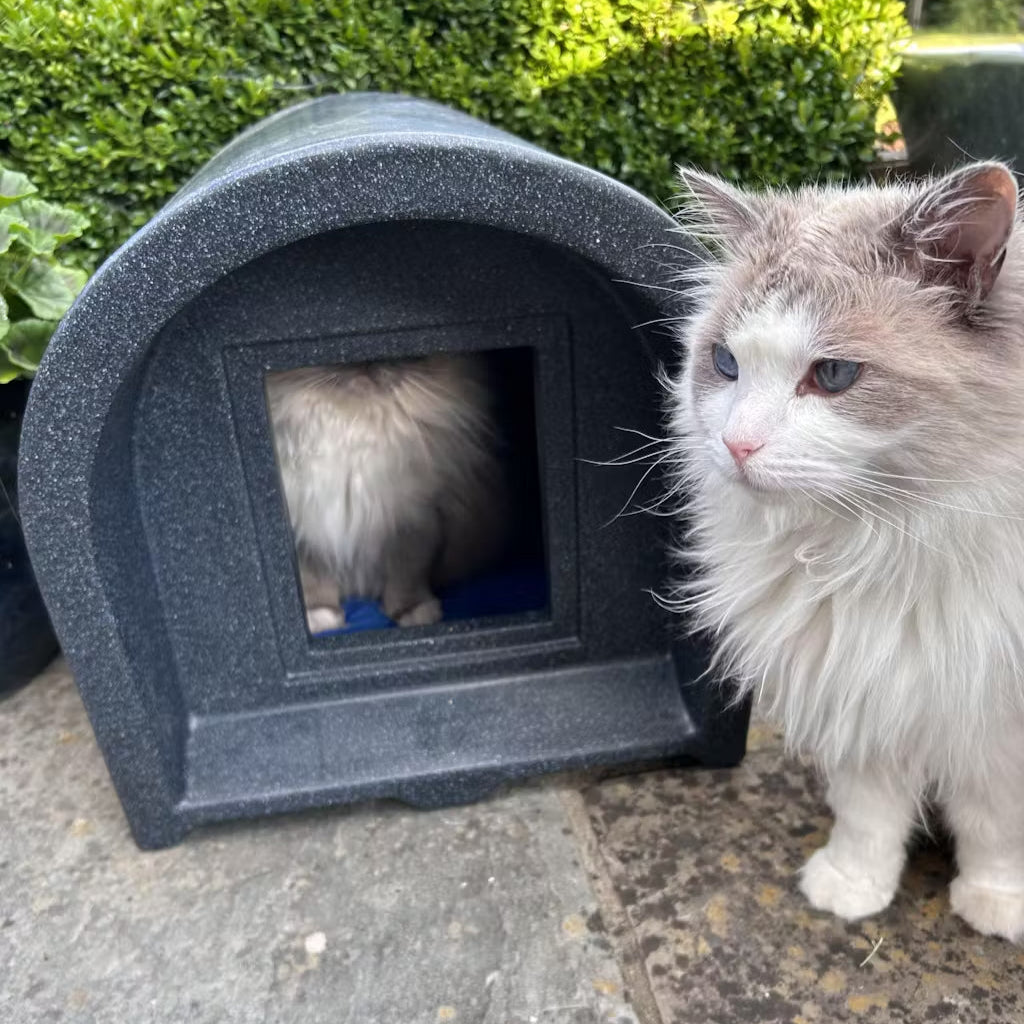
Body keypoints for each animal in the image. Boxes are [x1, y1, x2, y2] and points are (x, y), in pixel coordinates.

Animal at [264, 354, 503, 630]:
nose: (365, 362)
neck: (353, 429)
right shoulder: (304, 525)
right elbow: (313, 577)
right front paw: (319, 615)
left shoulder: (416, 517)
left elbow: (407, 573)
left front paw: (413, 613)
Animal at [667, 161, 1024, 942]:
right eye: (725, 364)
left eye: (832, 376)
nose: (736, 446)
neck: (877, 549)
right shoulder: (866, 692)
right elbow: (869, 816)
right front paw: (853, 887)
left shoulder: (995, 721)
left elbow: (996, 827)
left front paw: (999, 904)